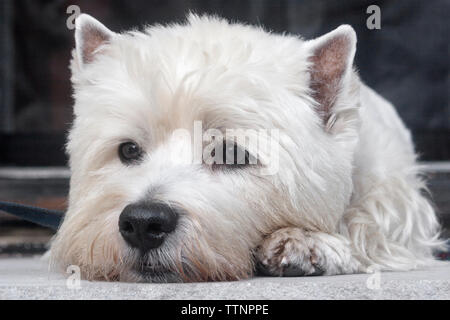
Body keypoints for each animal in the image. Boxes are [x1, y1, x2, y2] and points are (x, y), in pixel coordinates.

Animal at [49, 13, 442, 282]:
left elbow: (363, 226)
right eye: (128, 150)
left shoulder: (395, 205)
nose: (144, 223)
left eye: (231, 154)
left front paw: (304, 243)